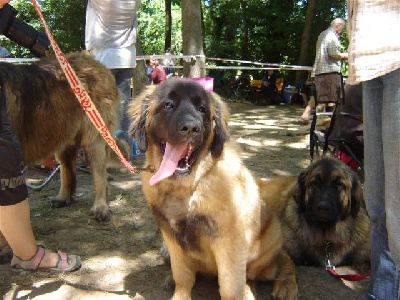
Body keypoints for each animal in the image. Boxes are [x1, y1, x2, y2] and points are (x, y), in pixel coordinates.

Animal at [0, 52, 122, 220]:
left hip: (94, 137)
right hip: (63, 135)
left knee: (99, 173)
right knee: (67, 167)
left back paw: (100, 207)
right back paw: (63, 198)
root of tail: (92, 60)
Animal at [130, 79, 298, 300]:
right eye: (168, 105)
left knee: (256, 272)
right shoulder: (172, 238)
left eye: (202, 109)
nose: (191, 128)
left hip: (270, 238)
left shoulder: (229, 242)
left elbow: (230, 286)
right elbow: (183, 275)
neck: (187, 187)